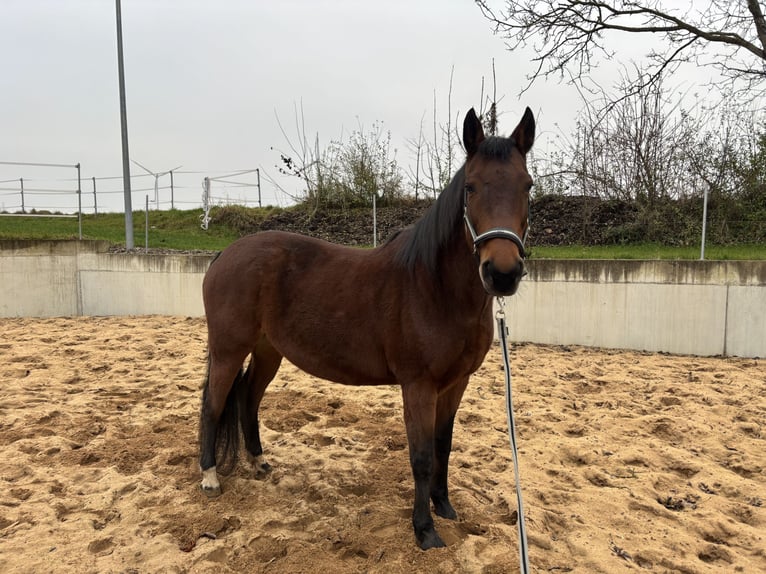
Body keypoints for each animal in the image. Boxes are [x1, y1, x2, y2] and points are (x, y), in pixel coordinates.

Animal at [198, 106, 536, 552]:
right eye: (470, 187)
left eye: (527, 186)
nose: (502, 273)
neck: (434, 287)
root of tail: (225, 254)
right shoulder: (418, 385)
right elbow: (421, 456)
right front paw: (424, 530)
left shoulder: (455, 382)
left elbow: (443, 445)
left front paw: (444, 506)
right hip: (228, 350)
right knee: (213, 403)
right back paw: (209, 478)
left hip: (269, 350)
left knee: (248, 399)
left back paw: (258, 462)